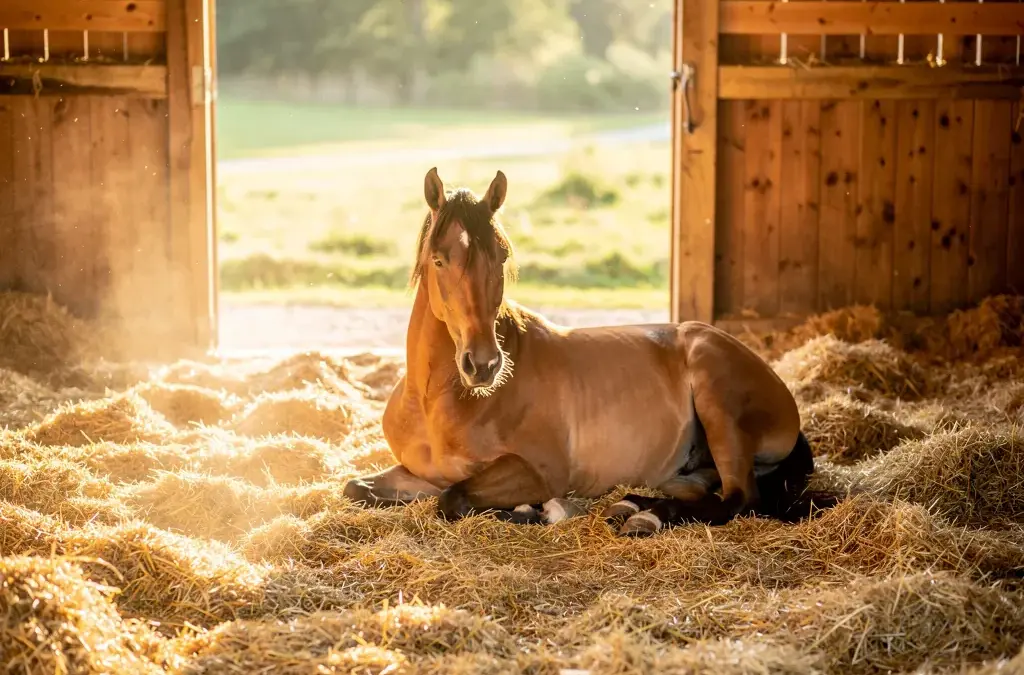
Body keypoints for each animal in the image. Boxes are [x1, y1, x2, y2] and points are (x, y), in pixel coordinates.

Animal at [344, 167, 829, 536]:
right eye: (439, 259)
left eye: (501, 258)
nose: (483, 365)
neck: (436, 402)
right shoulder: (414, 472)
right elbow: (355, 489)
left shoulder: (537, 471)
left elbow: (453, 498)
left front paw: (542, 510)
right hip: (685, 468)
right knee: (700, 491)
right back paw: (630, 507)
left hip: (718, 400)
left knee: (738, 499)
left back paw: (645, 516)